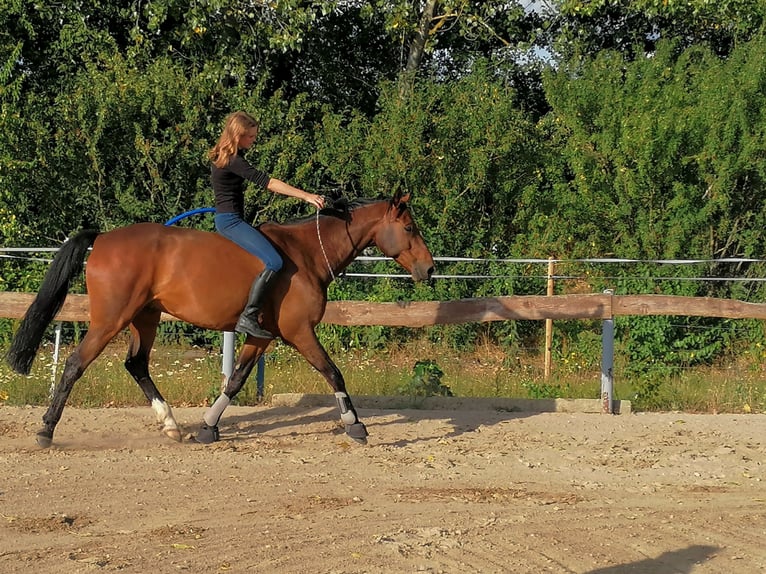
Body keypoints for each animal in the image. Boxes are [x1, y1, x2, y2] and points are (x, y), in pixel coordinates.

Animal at [6, 194, 436, 450]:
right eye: (409, 228)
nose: (429, 269)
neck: (307, 253)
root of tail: (104, 239)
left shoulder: (263, 336)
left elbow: (237, 379)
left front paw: (208, 428)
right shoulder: (299, 332)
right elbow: (333, 372)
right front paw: (355, 425)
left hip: (145, 318)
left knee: (136, 364)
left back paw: (171, 425)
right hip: (111, 319)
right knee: (75, 364)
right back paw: (46, 430)